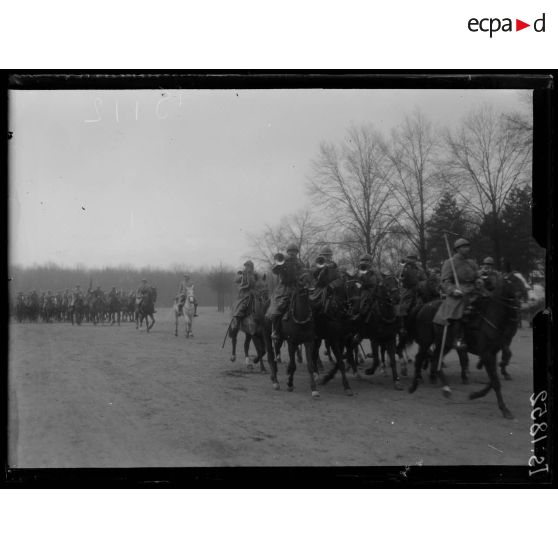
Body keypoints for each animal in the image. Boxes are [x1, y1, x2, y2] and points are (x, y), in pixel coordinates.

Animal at [412, 274, 524, 422]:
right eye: (512, 280)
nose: (525, 294)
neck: (493, 316)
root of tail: (424, 306)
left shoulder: (493, 351)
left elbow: (494, 378)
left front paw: (475, 394)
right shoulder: (487, 353)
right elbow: (495, 381)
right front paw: (505, 410)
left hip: (445, 344)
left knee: (436, 360)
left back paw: (446, 388)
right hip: (426, 341)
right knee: (420, 357)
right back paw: (415, 384)